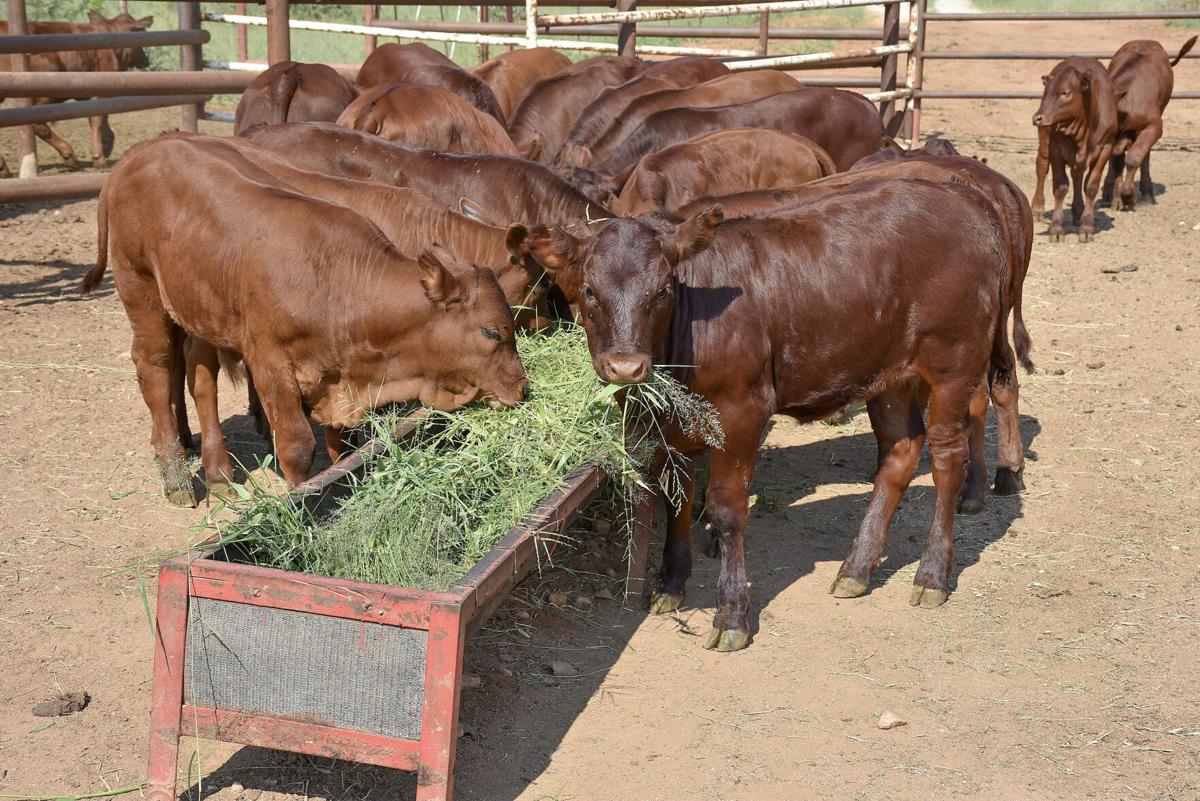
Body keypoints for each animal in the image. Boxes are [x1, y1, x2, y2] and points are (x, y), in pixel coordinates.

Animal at [0, 12, 153, 175]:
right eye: (141, 34)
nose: (146, 59)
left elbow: (102, 119)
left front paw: (106, 145)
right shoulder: (99, 91)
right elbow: (97, 119)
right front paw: (98, 157)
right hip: (44, 93)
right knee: (38, 123)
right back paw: (69, 155)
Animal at [81, 135, 528, 504]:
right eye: (491, 331)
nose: (523, 388)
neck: (337, 283)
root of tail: (136, 157)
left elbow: (342, 446)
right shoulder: (269, 363)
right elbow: (296, 446)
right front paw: (300, 504)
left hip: (202, 312)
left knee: (201, 379)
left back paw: (218, 474)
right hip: (142, 294)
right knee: (155, 370)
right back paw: (176, 478)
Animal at [507, 179, 1012, 651]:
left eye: (663, 289)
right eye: (589, 290)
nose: (627, 367)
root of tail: (965, 198)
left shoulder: (742, 411)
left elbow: (726, 509)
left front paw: (731, 614)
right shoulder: (670, 424)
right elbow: (677, 499)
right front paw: (669, 585)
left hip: (954, 364)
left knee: (947, 456)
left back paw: (932, 575)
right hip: (890, 376)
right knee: (900, 453)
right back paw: (856, 570)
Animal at [1031, 57, 1118, 242]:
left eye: (1065, 92)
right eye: (1046, 92)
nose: (1037, 118)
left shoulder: (1105, 148)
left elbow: (1091, 187)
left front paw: (1087, 227)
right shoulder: (1055, 149)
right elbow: (1060, 187)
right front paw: (1056, 229)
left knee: (1077, 175)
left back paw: (1078, 212)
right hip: (1044, 139)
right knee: (1042, 167)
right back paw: (1037, 209)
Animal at [1103, 36, 1198, 210]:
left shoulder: (1154, 126)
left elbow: (1133, 158)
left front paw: (1128, 196)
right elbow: (1117, 160)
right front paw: (1118, 199)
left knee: (1144, 154)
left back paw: (1146, 194)